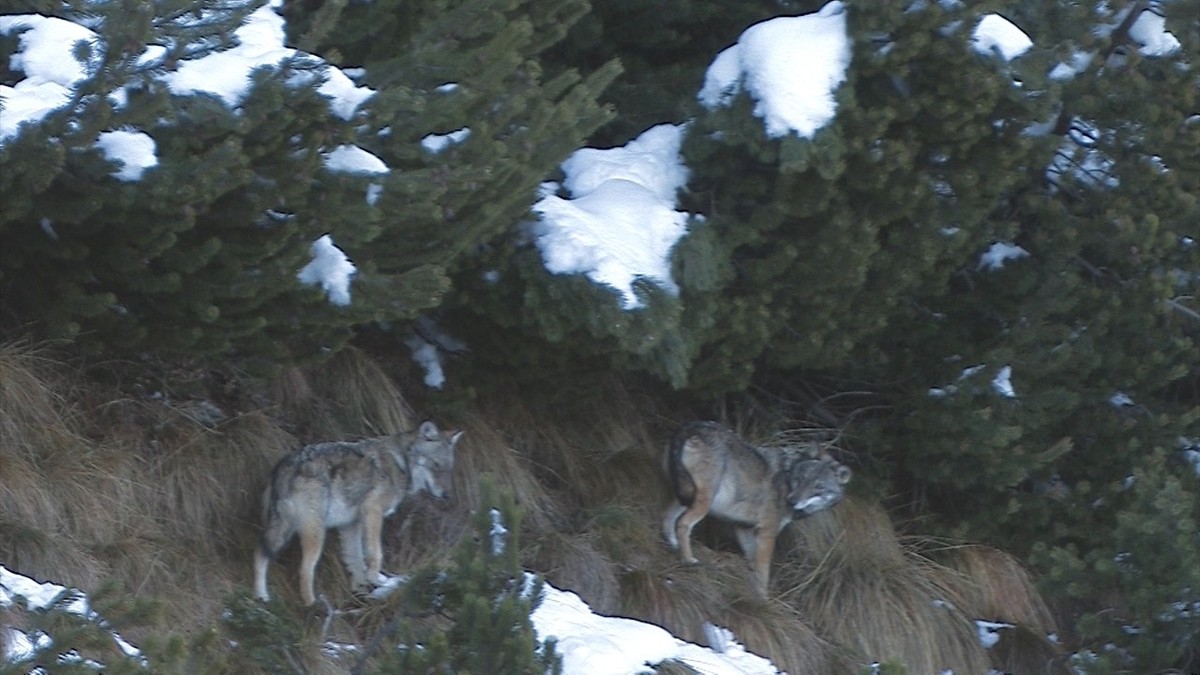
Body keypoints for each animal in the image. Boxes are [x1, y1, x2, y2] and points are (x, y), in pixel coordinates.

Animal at [253, 420, 462, 605]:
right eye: (435, 465)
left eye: (448, 469)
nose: (446, 496)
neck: (401, 463)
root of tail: (285, 465)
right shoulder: (373, 511)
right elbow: (374, 553)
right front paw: (376, 580)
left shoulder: (351, 524)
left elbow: (356, 558)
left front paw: (364, 589)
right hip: (314, 533)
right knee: (304, 570)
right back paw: (312, 606)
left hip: (283, 530)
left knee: (259, 555)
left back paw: (262, 599)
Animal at [662, 421, 851, 595]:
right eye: (802, 478)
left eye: (818, 487)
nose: (792, 501)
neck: (787, 478)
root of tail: (693, 426)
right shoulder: (767, 533)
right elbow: (763, 571)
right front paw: (763, 598)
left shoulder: (743, 528)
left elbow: (753, 565)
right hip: (704, 500)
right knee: (683, 523)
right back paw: (688, 559)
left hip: (686, 495)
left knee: (668, 517)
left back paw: (672, 544)